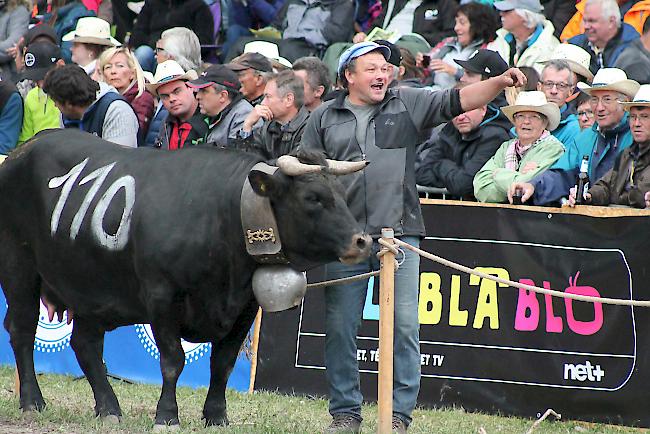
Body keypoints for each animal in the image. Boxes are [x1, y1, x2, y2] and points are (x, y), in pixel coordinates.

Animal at [0, 129, 370, 428]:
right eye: (312, 198)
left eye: (342, 193)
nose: (361, 241)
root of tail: (23, 149)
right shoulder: (162, 297)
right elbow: (172, 360)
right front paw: (167, 415)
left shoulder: (244, 307)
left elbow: (222, 364)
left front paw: (217, 416)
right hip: (19, 269)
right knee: (22, 330)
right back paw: (32, 400)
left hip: (89, 285)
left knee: (85, 345)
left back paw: (108, 408)